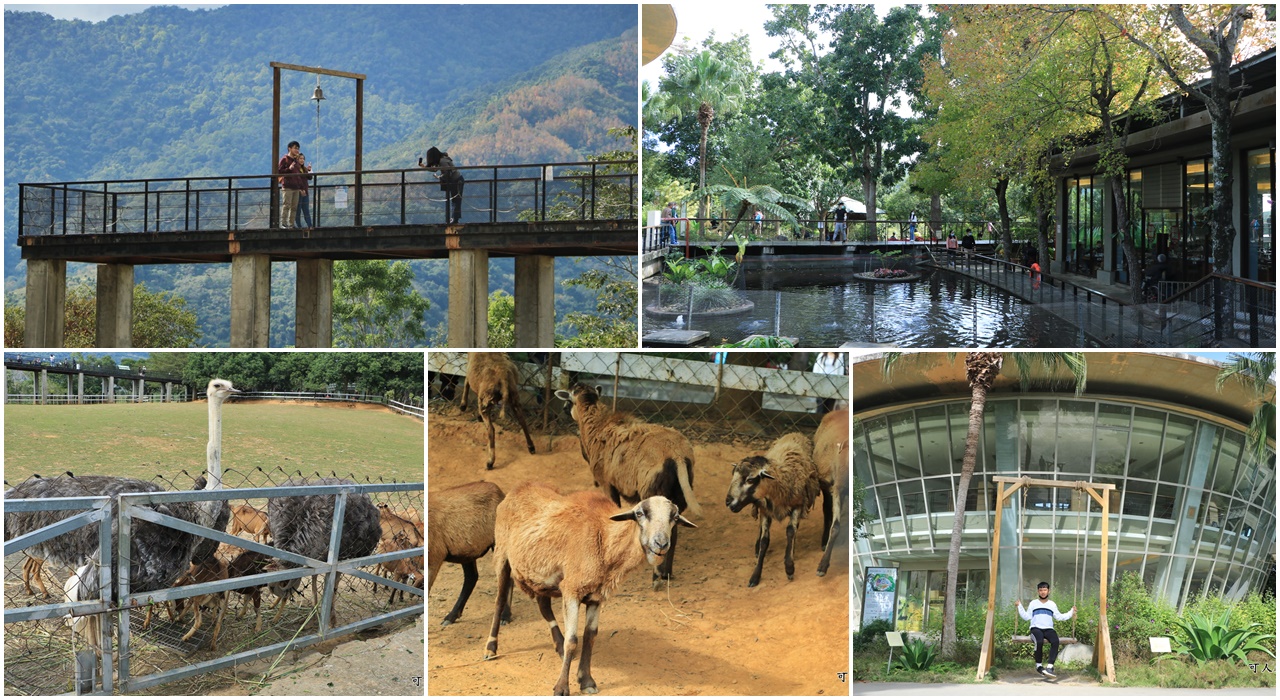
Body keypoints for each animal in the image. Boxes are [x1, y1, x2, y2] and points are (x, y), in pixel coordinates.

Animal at [432, 481, 506, 624]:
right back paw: (451, 616)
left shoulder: (433, 558)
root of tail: (500, 492)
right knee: (472, 577)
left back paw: (505, 616)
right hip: (467, 553)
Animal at [481, 483, 701, 696]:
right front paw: (561, 687)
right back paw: (491, 648)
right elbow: (573, 639)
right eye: (640, 513)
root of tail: (516, 489)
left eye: (674, 517)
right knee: (499, 602)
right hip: (502, 555)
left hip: (540, 575)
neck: (604, 536)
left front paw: (586, 681)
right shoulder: (571, 590)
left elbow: (589, 637)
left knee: (544, 606)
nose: (661, 544)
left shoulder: (596, 596)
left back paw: (557, 645)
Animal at [555, 383, 706, 586]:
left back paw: (656, 576)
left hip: (653, 491)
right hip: (679, 493)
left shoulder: (607, 483)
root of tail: (677, 455)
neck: (597, 425)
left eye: (568, 399)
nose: (563, 410)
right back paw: (666, 574)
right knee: (672, 534)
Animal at [727, 432, 824, 586]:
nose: (728, 501)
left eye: (750, 480)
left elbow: (790, 531)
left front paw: (789, 568)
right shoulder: (765, 510)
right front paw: (755, 575)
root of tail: (794, 433)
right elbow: (764, 540)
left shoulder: (798, 505)